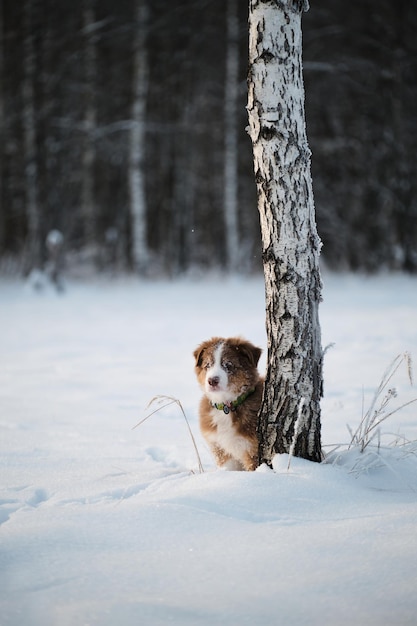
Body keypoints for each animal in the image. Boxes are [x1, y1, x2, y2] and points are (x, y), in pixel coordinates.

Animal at [193, 336, 264, 468]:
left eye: (228, 365)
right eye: (207, 365)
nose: (212, 381)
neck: (226, 406)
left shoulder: (251, 450)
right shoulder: (220, 447)